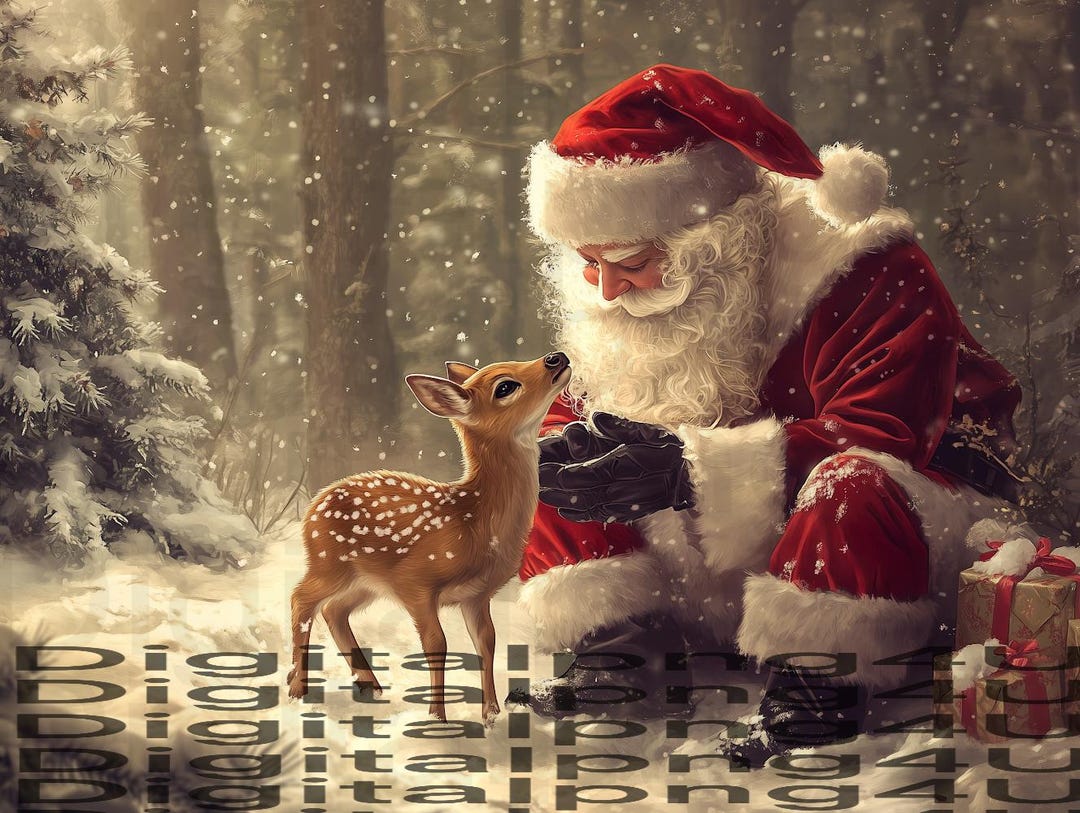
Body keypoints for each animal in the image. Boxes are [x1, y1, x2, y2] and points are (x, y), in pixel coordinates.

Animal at [288, 352, 571, 726]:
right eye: (504, 387)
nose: (556, 357)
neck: (475, 522)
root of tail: (314, 506)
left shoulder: (477, 595)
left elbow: (486, 642)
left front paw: (492, 716)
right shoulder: (415, 582)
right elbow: (437, 643)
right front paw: (438, 718)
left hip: (366, 581)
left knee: (334, 610)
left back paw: (370, 685)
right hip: (329, 564)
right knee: (301, 600)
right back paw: (298, 689)